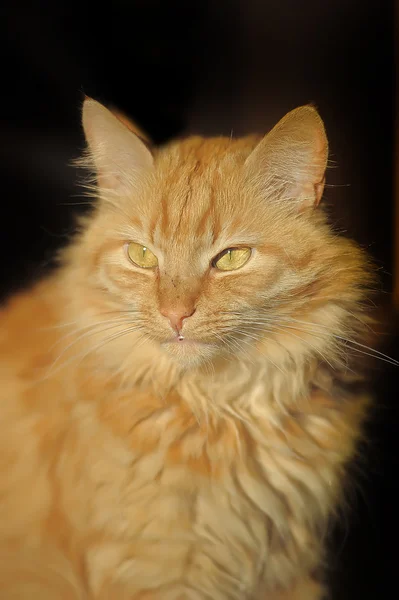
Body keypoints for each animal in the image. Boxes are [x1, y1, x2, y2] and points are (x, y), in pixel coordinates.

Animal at [0, 99, 376, 600]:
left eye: (232, 259)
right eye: (142, 256)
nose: (175, 314)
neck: (220, 407)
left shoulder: (292, 570)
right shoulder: (154, 571)